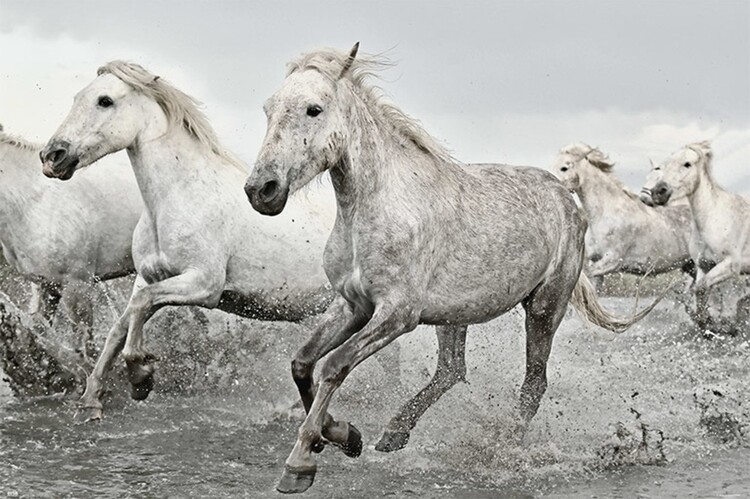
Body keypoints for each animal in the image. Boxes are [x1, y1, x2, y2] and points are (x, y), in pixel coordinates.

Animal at [38, 61, 470, 436]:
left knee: (431, 368)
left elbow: (141, 312)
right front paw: (91, 404)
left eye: (105, 101)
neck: (176, 196)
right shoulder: (146, 277)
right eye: (79, 96)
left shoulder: (203, 285)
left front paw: (141, 377)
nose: (52, 156)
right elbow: (120, 328)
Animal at [245, 44, 660, 494]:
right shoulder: (353, 305)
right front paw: (345, 436)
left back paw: (502, 450)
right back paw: (395, 433)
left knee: (533, 383)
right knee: (451, 371)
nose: (261, 190)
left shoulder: (397, 314)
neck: (375, 208)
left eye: (313, 109)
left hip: (544, 308)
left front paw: (301, 462)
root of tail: (567, 198)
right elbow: (303, 363)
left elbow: (334, 366)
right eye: (268, 108)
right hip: (454, 315)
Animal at [641, 140, 750, 329]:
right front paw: (706, 322)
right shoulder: (703, 266)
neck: (712, 219)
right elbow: (700, 292)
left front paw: (715, 324)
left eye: (687, 164)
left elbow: (701, 289)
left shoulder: (729, 265)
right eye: (664, 165)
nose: (659, 192)